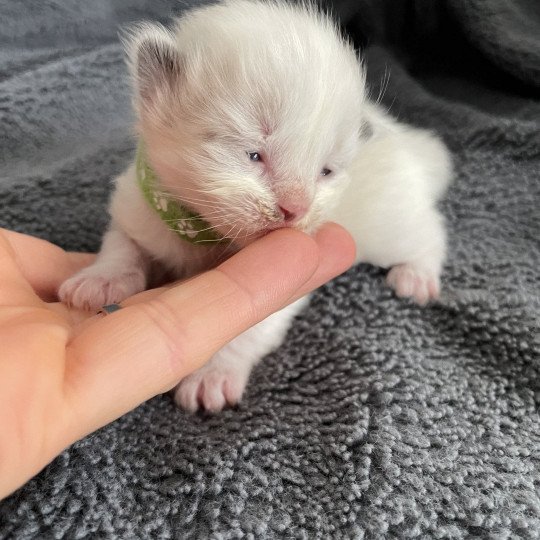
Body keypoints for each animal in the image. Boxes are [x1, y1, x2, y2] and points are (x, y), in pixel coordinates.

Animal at [59, 1, 452, 414]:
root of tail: (410, 145)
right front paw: (99, 280)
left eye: (325, 171)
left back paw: (417, 275)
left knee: (430, 233)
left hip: (391, 220)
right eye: (253, 154)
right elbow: (122, 244)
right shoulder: (140, 202)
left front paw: (212, 374)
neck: (204, 233)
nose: (296, 209)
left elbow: (250, 329)